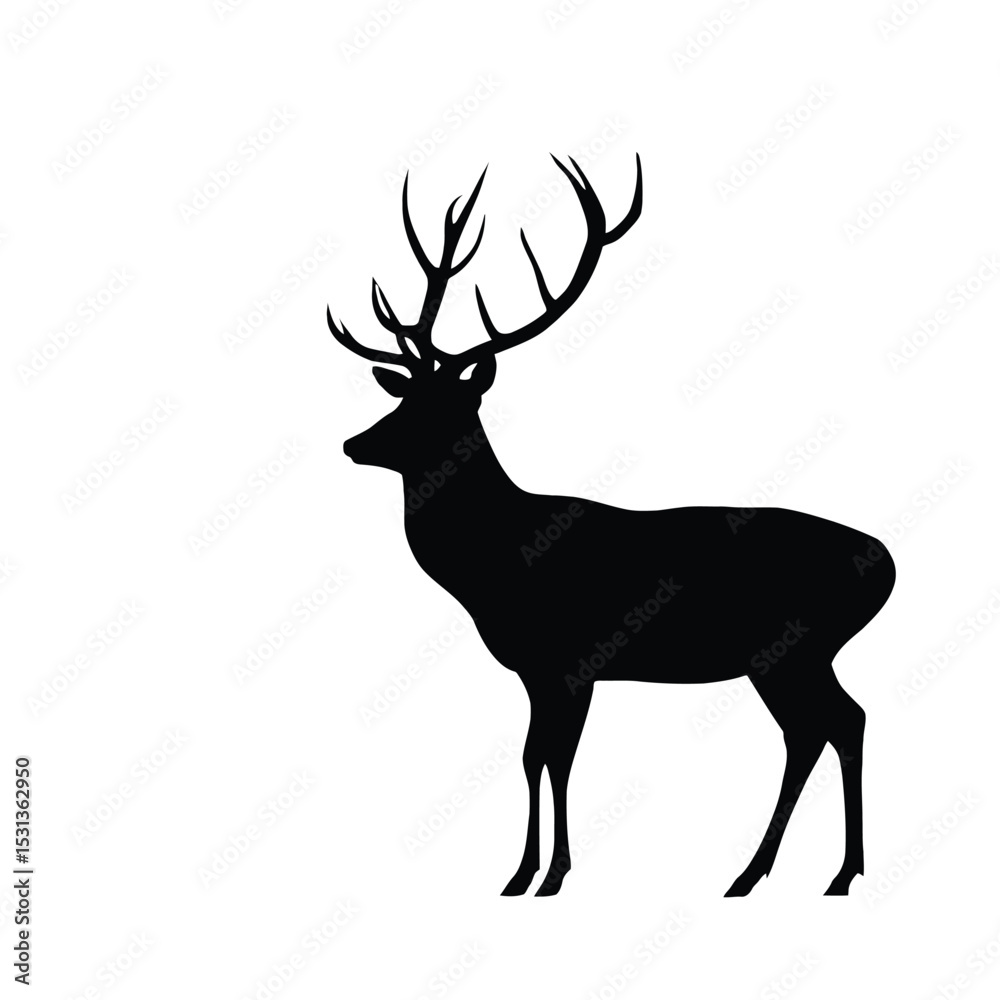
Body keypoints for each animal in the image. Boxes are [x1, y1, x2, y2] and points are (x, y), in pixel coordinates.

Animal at [327, 154, 896, 897]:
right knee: (825, 727)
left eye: (440, 406)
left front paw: (548, 875)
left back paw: (817, 872)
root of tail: (887, 563)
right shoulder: (538, 670)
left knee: (833, 724)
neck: (494, 565)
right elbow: (533, 756)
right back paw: (780, 873)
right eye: (404, 396)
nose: (354, 443)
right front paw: (524, 872)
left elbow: (555, 759)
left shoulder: (568, 660)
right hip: (795, 655)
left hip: (794, 646)